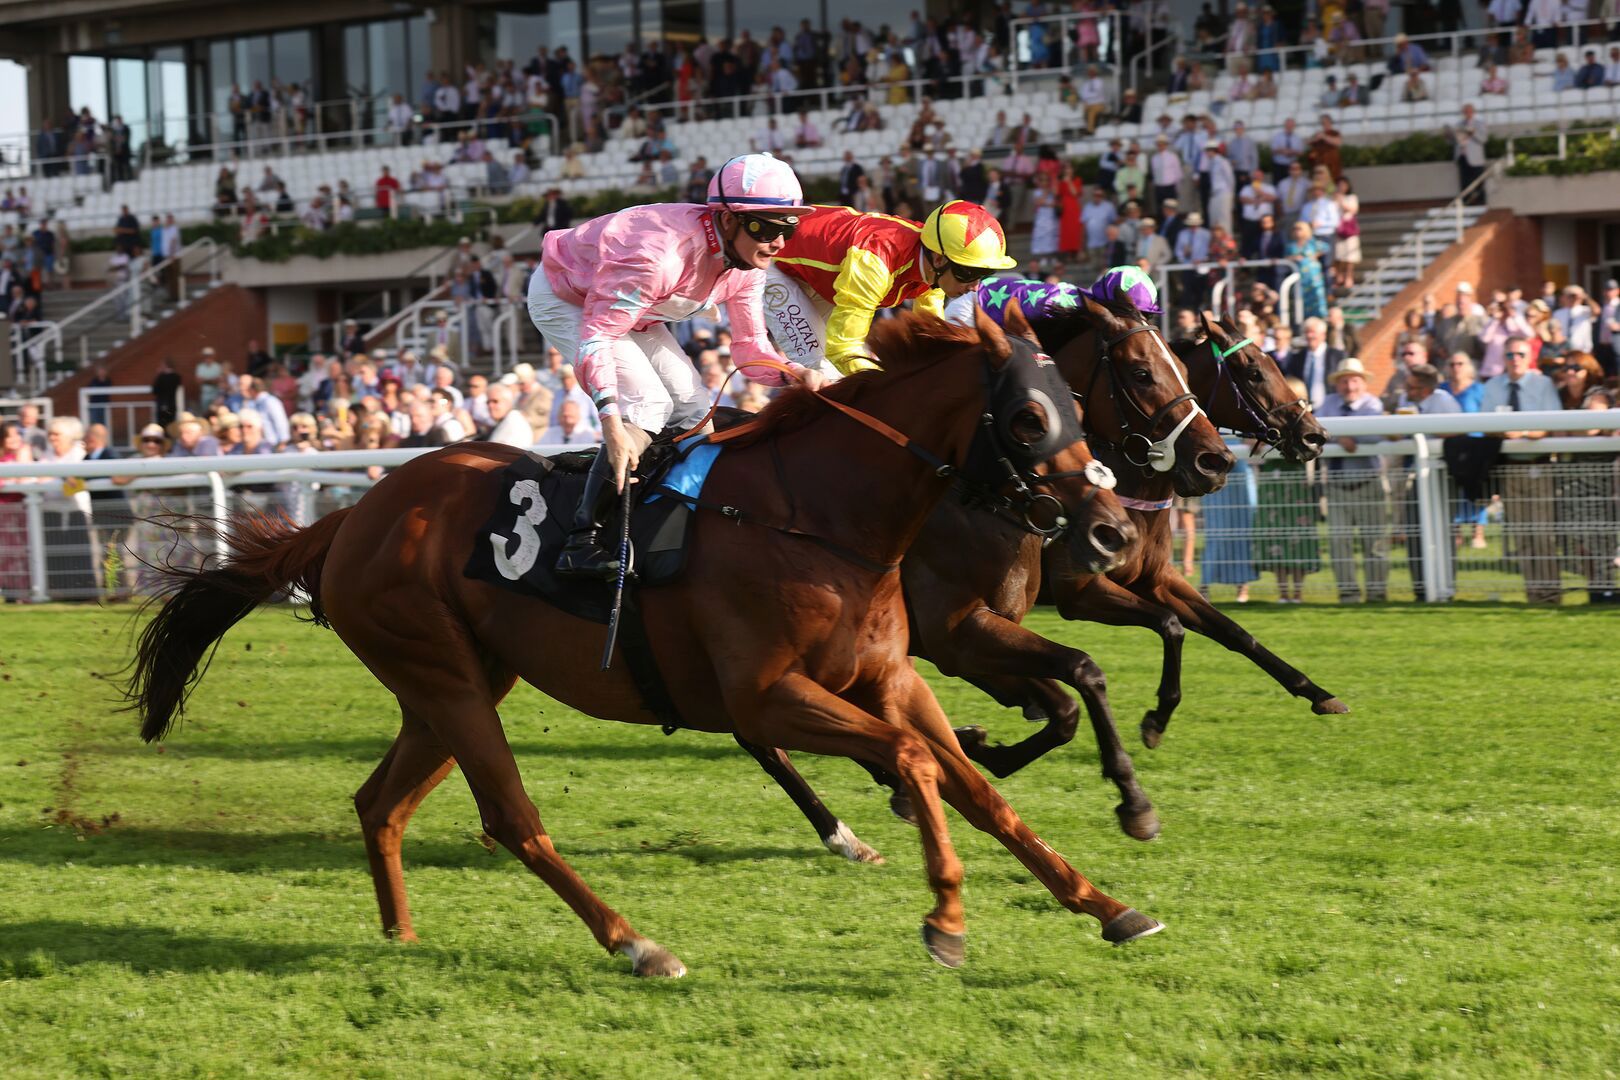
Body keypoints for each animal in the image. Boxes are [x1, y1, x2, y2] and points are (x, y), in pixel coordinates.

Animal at [123, 306, 1179, 977]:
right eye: (1030, 415)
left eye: (1080, 409)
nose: (1111, 534)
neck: (818, 515)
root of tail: (349, 517)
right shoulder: (771, 693)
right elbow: (919, 763)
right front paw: (947, 915)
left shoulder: (891, 676)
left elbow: (976, 784)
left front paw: (1104, 902)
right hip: (446, 678)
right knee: (512, 820)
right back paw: (636, 943)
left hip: (452, 686)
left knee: (379, 804)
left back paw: (402, 939)